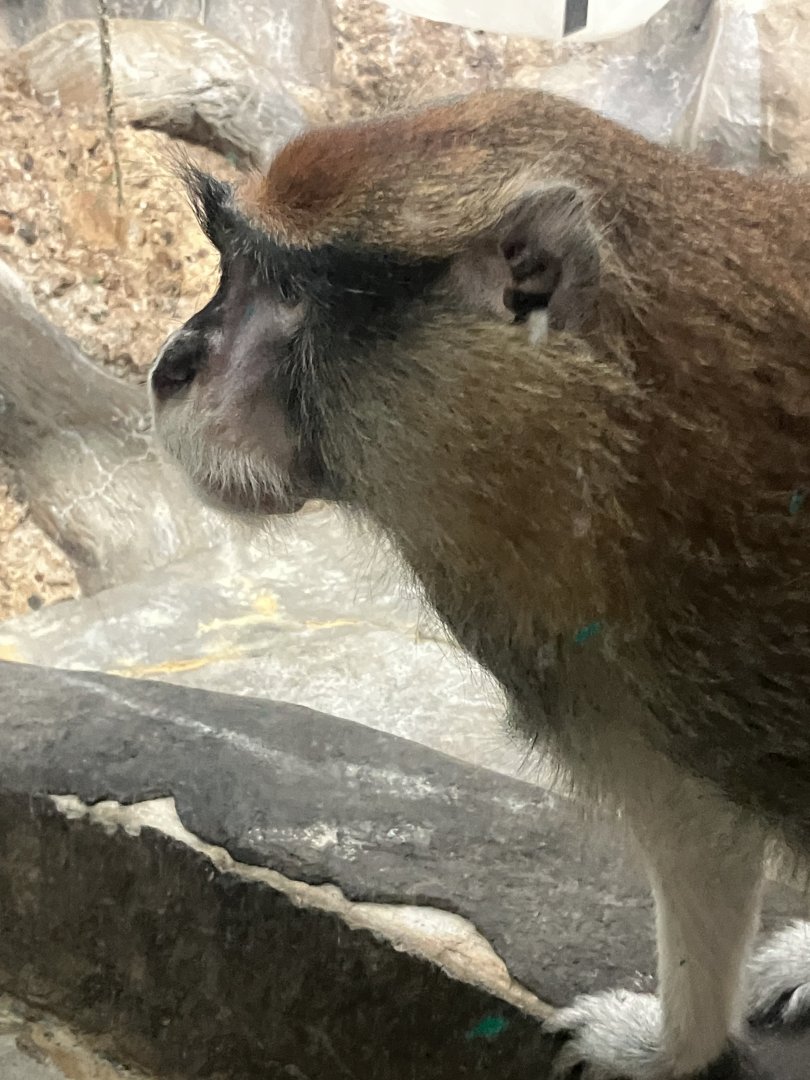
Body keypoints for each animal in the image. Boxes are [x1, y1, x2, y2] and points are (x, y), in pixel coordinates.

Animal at [148, 88, 810, 1079]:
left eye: (289, 292)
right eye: (233, 271)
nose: (170, 368)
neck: (611, 417)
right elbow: (695, 828)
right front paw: (671, 1049)